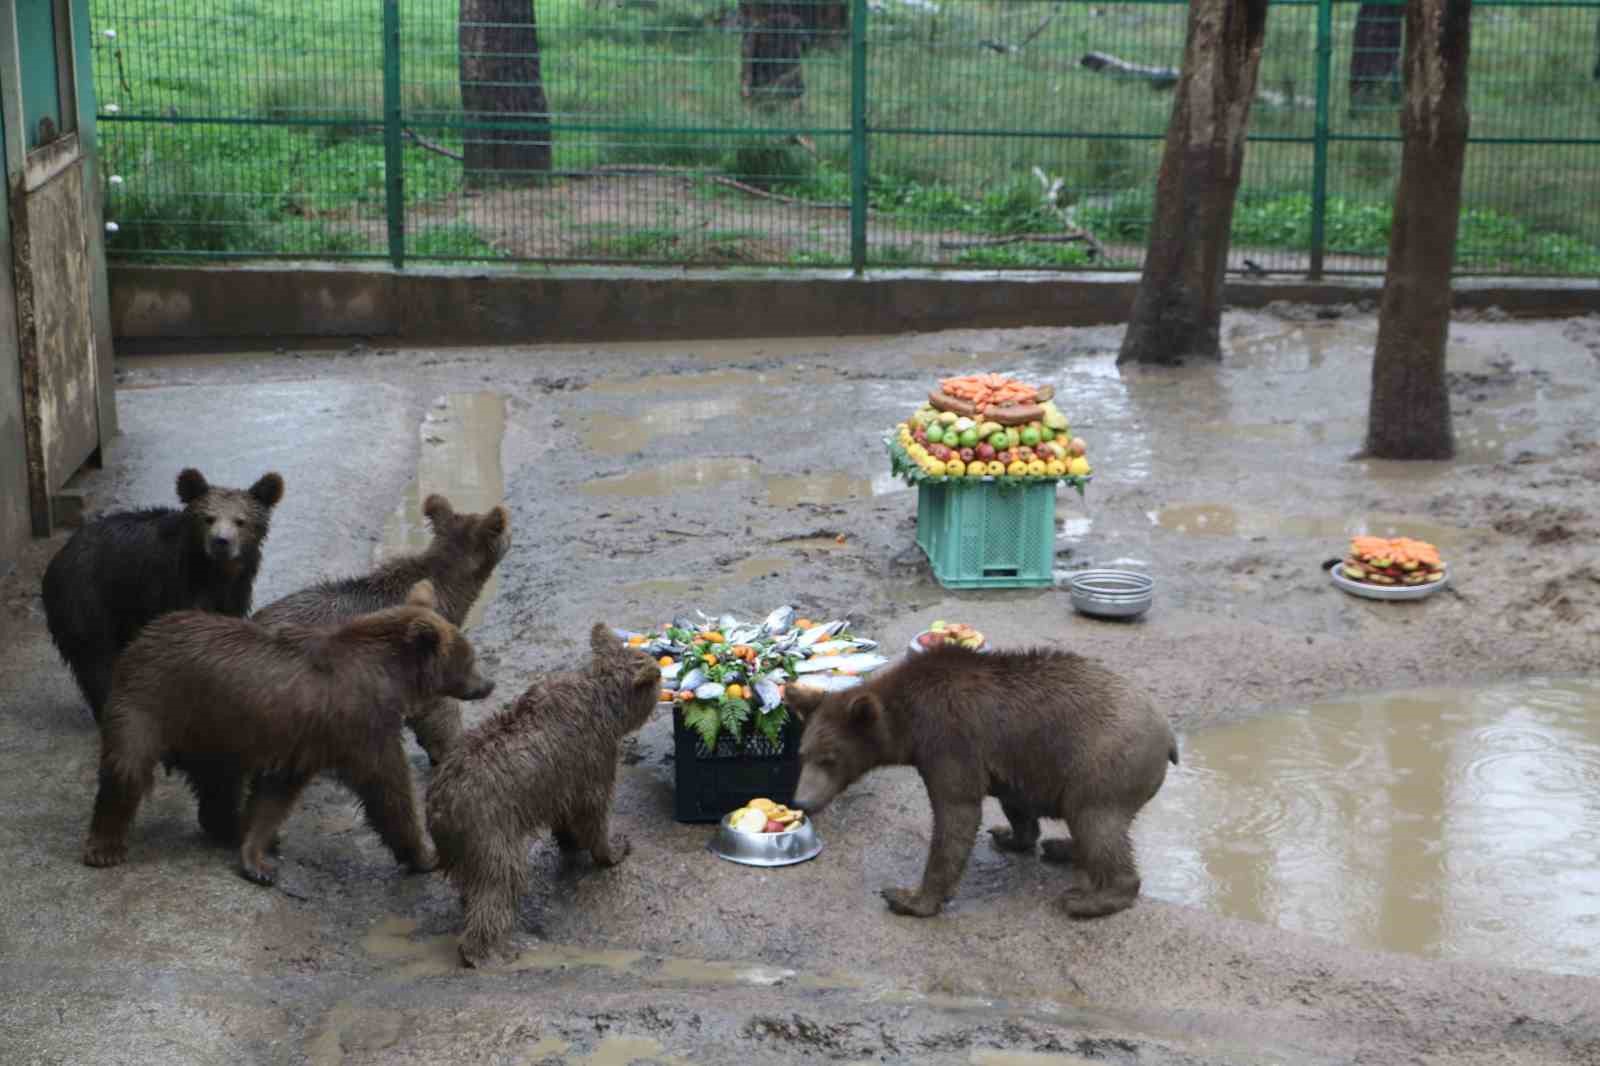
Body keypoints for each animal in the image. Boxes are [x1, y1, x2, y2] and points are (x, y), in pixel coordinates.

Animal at [42, 464, 286, 713]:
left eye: (240, 520)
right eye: (208, 518)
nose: (221, 542)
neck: (215, 573)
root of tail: (57, 558)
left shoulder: (234, 594)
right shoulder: (176, 587)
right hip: (88, 598)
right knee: (95, 656)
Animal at [79, 576, 492, 883]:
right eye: (470, 657)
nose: (488, 685)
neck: (390, 679)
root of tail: (144, 634)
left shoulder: (305, 741)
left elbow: (275, 795)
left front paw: (257, 856)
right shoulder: (361, 725)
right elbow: (388, 790)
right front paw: (425, 854)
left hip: (211, 730)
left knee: (218, 782)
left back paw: (229, 826)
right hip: (152, 699)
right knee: (128, 766)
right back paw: (105, 847)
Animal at [425, 624, 662, 960]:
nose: (662, 678)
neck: (602, 702)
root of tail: (437, 806)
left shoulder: (560, 777)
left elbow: (566, 813)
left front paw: (570, 841)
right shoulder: (594, 756)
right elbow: (594, 812)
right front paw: (613, 849)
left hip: (464, 845)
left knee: (474, 884)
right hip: (488, 830)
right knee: (499, 882)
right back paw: (486, 949)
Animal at [787, 643, 1177, 915]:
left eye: (830, 759)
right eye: (802, 754)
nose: (802, 801)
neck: (908, 724)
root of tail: (1168, 734)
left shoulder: (949, 739)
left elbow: (956, 813)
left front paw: (909, 897)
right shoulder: (1010, 762)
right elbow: (1014, 803)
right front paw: (1009, 835)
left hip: (1103, 765)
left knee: (1097, 823)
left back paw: (1087, 899)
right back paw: (1062, 847)